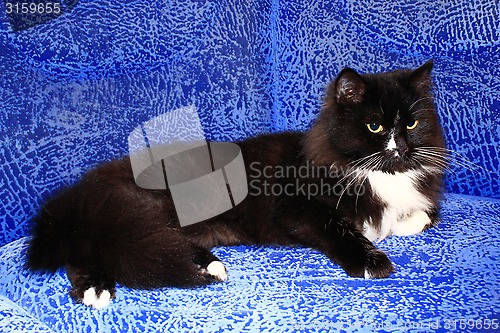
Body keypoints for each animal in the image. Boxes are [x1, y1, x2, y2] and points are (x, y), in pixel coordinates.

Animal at [25, 60, 448, 308]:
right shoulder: (296, 207)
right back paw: (96, 289)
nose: (401, 147)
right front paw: (372, 261)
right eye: (375, 126)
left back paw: (210, 266)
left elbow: (417, 217)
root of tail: (83, 189)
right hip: (137, 214)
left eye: (412, 123)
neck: (375, 173)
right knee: (92, 248)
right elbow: (343, 229)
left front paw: (404, 222)